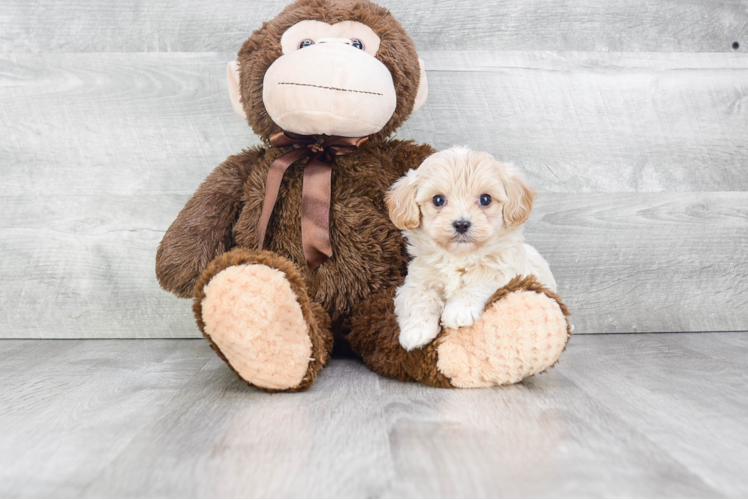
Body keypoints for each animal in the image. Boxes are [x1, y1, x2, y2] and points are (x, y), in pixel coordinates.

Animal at [386, 147, 556, 352]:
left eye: (485, 199)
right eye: (438, 200)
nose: (461, 224)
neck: (460, 256)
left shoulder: (505, 273)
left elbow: (479, 282)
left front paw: (459, 311)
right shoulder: (418, 279)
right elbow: (418, 297)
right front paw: (416, 331)